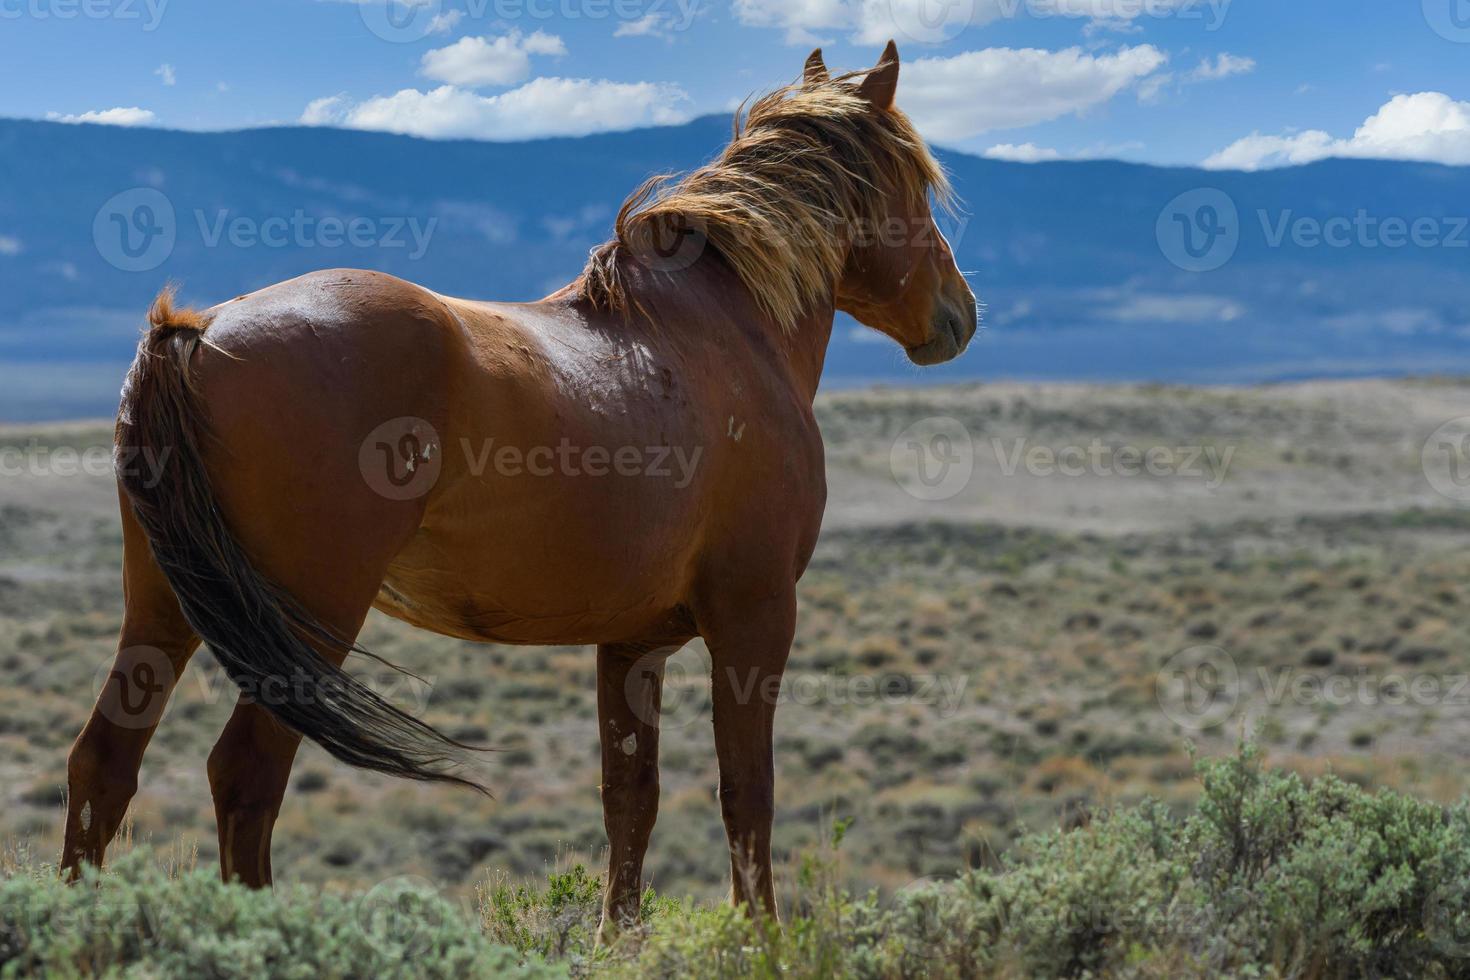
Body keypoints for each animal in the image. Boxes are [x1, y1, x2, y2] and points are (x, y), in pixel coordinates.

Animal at [63, 44, 976, 934]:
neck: (726, 332)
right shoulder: (754, 618)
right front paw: (762, 941)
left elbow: (630, 801)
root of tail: (198, 331)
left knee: (104, 763)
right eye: (916, 182)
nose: (960, 313)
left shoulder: (635, 643)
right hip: (307, 616)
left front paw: (618, 941)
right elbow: (747, 795)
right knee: (246, 774)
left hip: (166, 607)